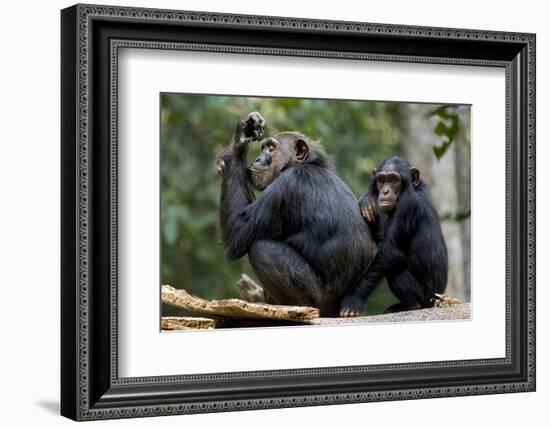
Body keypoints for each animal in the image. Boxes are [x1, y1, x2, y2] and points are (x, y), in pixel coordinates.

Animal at [217, 111, 376, 314]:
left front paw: (238, 143)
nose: (259, 159)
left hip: (318, 301)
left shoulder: (285, 187)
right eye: (264, 148)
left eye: (271, 148)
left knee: (262, 249)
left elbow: (237, 233)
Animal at [342, 156, 450, 316]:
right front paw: (366, 202)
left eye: (393, 180)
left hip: (426, 297)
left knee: (395, 269)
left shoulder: (407, 206)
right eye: (381, 180)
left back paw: (411, 305)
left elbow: (390, 250)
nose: (385, 191)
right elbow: (384, 240)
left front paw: (353, 300)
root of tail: (439, 299)